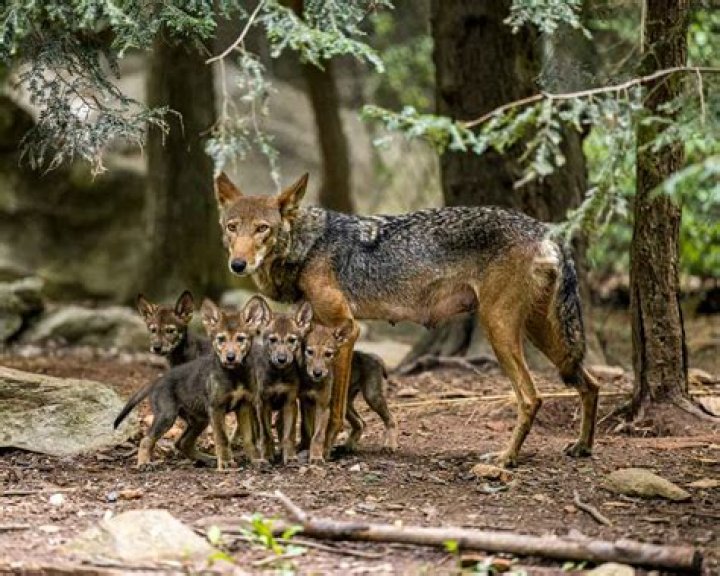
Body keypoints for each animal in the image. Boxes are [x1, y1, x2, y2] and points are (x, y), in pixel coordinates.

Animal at [114, 296, 268, 470]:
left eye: (240, 339)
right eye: (221, 339)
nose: (230, 357)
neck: (236, 374)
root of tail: (158, 380)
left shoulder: (244, 406)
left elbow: (249, 438)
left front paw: (255, 460)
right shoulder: (216, 408)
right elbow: (222, 438)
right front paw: (226, 463)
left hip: (199, 419)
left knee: (182, 442)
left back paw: (207, 459)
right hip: (168, 415)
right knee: (147, 440)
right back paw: (144, 464)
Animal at [212, 172, 599, 467]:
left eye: (262, 229)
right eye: (232, 228)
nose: (237, 264)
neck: (308, 246)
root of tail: (545, 230)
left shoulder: (345, 329)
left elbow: (334, 408)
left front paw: (323, 450)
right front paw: (303, 447)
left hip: (499, 330)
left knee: (532, 398)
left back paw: (505, 459)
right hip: (542, 335)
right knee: (590, 383)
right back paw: (582, 447)